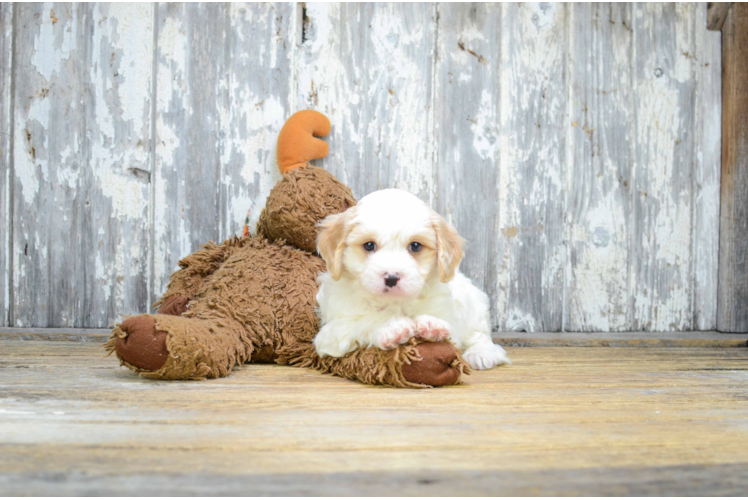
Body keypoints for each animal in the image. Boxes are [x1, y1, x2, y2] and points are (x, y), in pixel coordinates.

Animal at [312, 189, 512, 370]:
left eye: (415, 246)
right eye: (369, 245)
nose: (392, 277)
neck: (395, 302)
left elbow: (451, 331)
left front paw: (432, 326)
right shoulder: (331, 332)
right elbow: (366, 321)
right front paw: (392, 329)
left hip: (475, 307)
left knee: (481, 337)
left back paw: (481, 354)